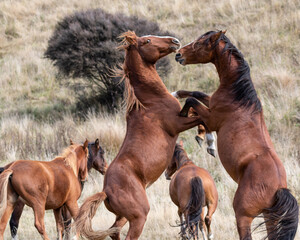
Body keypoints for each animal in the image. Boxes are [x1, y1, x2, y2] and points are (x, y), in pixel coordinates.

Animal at [74, 31, 205, 240]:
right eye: (147, 41)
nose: (174, 41)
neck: (150, 101)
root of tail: (106, 191)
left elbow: (196, 106)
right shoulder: (177, 124)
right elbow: (201, 113)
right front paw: (206, 139)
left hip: (123, 217)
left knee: (114, 231)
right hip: (139, 217)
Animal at [173, 31, 298, 239]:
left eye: (200, 43)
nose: (178, 54)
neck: (239, 98)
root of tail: (278, 189)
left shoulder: (212, 118)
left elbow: (192, 102)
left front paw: (202, 136)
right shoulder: (211, 105)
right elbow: (197, 93)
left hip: (243, 216)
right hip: (270, 219)